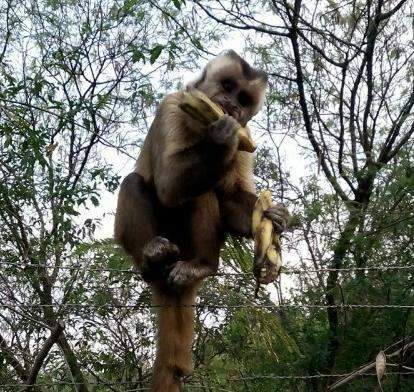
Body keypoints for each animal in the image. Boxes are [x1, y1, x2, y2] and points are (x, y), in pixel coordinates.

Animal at [113, 49, 288, 392]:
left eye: (243, 99)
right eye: (227, 85)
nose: (231, 105)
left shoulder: (246, 136)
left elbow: (231, 197)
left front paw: (277, 217)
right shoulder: (172, 104)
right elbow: (168, 183)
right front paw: (219, 138)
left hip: (186, 249)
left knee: (206, 193)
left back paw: (203, 264)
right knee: (136, 183)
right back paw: (152, 257)